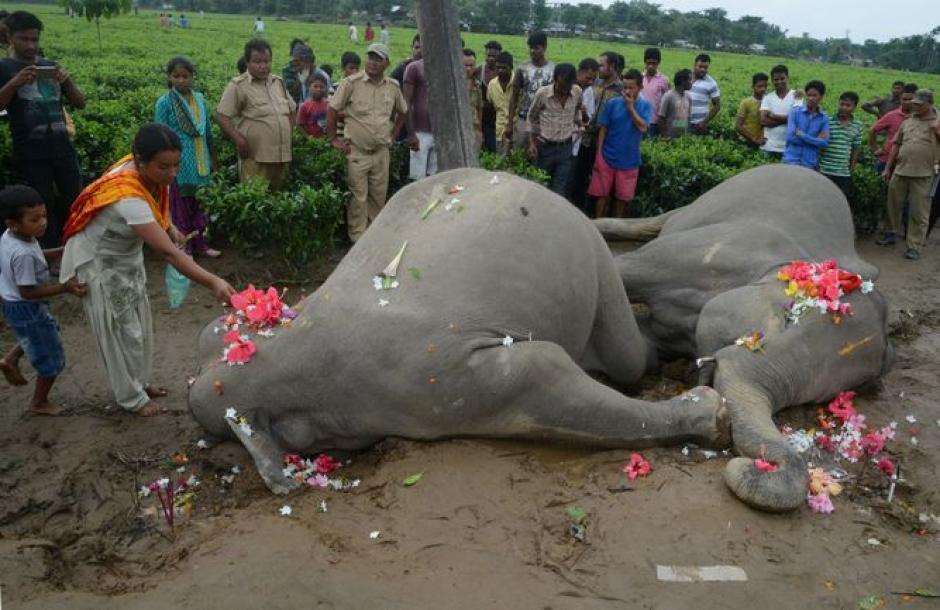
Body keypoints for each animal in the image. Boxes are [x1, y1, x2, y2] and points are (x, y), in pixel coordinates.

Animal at [596, 164, 892, 512]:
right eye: (788, 315)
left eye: (818, 396)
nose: (753, 465)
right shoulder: (715, 250)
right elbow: (623, 271)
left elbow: (646, 342)